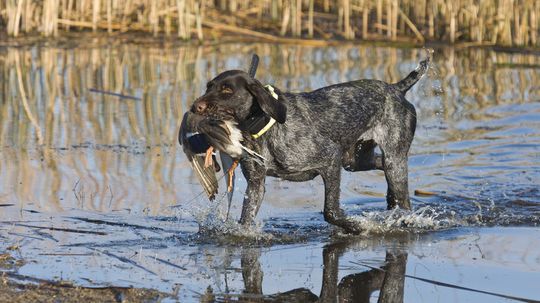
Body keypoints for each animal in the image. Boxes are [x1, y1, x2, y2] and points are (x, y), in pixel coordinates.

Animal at [189, 52, 430, 234]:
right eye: (209, 86)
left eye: (227, 90)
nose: (194, 107)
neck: (265, 126)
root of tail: (396, 88)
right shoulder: (256, 184)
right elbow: (246, 219)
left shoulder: (330, 159)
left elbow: (331, 212)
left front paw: (358, 227)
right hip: (355, 161)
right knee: (381, 166)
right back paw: (390, 202)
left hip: (392, 160)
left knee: (404, 199)